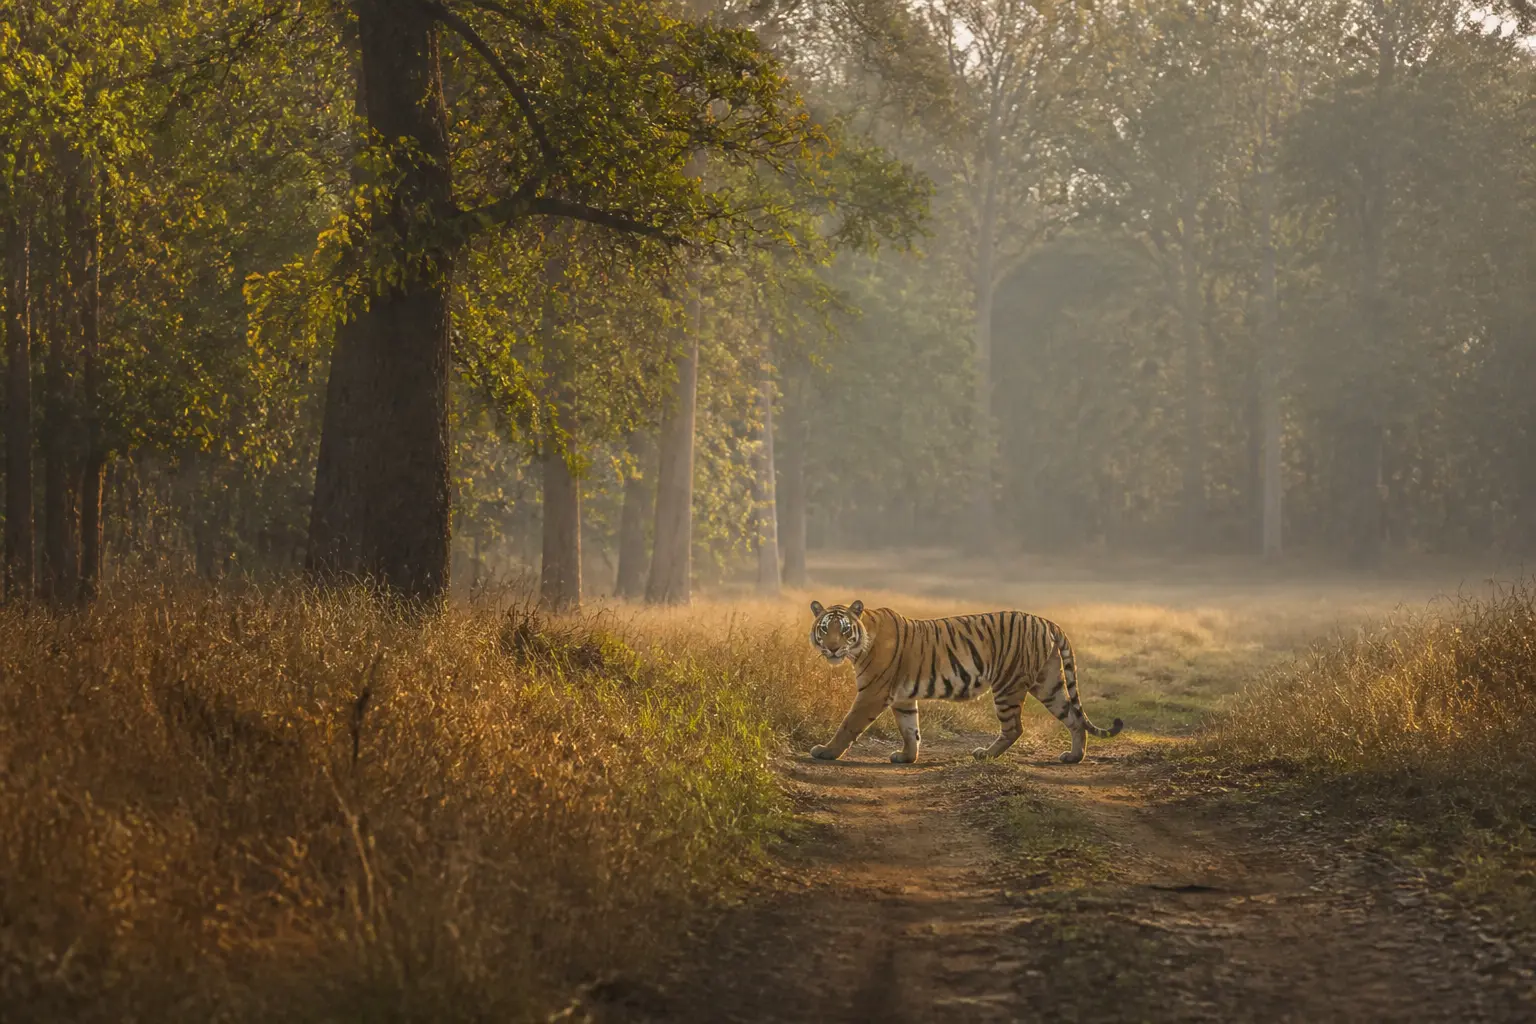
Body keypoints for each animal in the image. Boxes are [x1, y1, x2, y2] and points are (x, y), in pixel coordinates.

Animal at [806, 599, 1124, 765]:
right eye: (825, 629)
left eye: (844, 630)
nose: (832, 649)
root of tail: (1047, 621)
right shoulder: (903, 697)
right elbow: (910, 728)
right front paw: (907, 757)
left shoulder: (872, 692)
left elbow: (848, 724)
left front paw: (826, 752)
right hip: (1049, 684)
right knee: (1074, 718)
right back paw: (1074, 756)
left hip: (1008, 684)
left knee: (1015, 728)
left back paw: (985, 754)